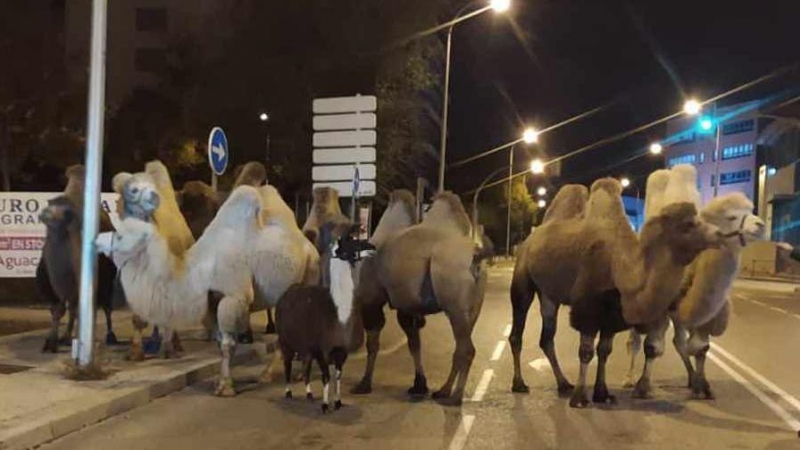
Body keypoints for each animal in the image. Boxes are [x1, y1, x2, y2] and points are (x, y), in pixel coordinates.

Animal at [348, 192, 484, 406]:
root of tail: (476, 258)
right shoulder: (408, 306)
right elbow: (414, 342)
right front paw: (419, 385)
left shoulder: (372, 300)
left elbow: (373, 344)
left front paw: (363, 384)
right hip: (472, 310)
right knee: (460, 347)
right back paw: (443, 391)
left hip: (455, 305)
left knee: (467, 349)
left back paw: (455, 397)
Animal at [620, 171, 764, 400]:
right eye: (731, 217)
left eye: (750, 211)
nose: (761, 225)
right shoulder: (659, 309)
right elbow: (653, 347)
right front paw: (642, 387)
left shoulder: (706, 315)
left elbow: (699, 348)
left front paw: (702, 385)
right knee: (634, 341)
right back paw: (628, 378)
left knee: (679, 342)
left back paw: (690, 378)